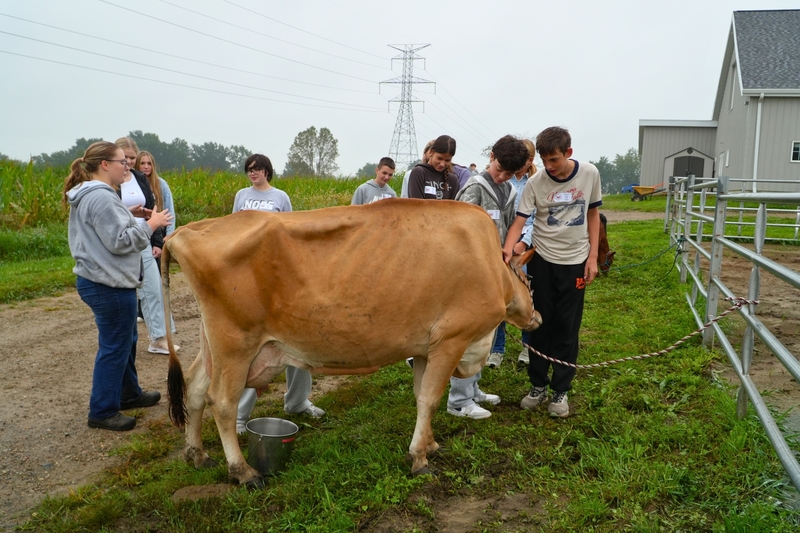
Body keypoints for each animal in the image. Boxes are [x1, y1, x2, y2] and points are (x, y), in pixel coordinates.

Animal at [162, 199, 541, 487]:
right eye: (531, 280)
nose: (537, 317)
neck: (490, 266)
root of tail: (189, 230)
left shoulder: (424, 348)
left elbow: (421, 394)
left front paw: (430, 445)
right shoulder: (452, 339)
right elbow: (431, 399)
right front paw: (419, 459)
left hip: (213, 342)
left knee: (195, 389)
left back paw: (198, 454)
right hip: (236, 344)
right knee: (222, 403)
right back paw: (244, 471)